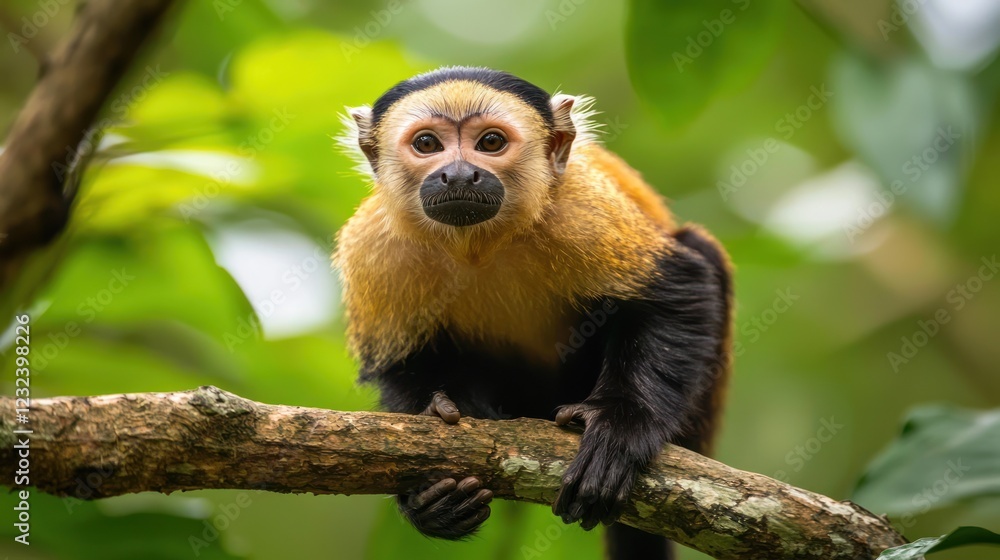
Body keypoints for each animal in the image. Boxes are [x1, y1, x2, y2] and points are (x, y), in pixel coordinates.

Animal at [334, 66, 732, 560]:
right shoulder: (372, 244)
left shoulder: (581, 211)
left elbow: (679, 289)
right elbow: (397, 362)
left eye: (490, 142)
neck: (478, 246)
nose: (459, 174)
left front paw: (622, 426)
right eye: (427, 144)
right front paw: (428, 493)